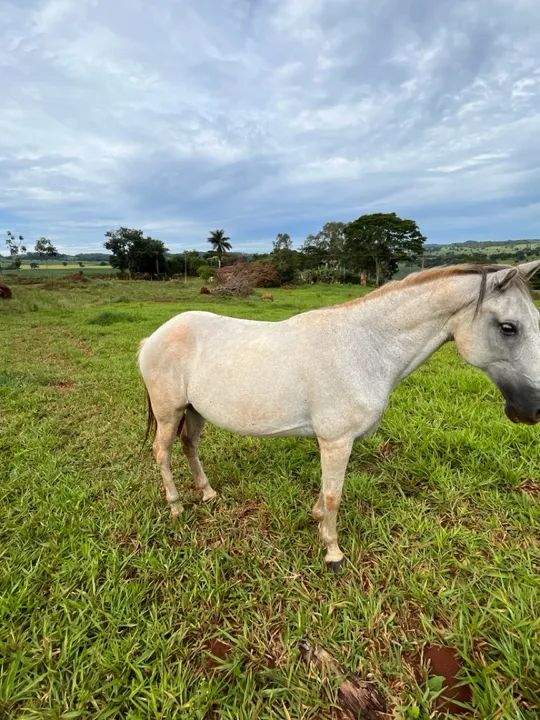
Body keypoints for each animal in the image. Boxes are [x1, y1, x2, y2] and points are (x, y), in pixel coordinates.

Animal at [138, 262, 540, 570]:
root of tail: (152, 338)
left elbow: (325, 492)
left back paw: (207, 493)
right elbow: (335, 495)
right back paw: (176, 507)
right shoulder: (336, 441)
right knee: (162, 453)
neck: (366, 347)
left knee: (189, 446)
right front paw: (333, 553)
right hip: (169, 411)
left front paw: (318, 523)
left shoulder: (335, 443)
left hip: (194, 412)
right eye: (508, 327)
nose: (533, 409)